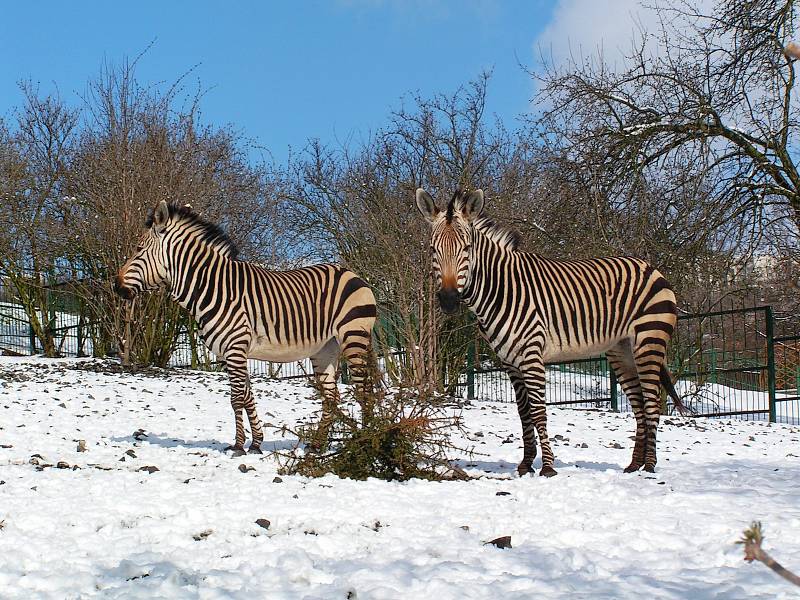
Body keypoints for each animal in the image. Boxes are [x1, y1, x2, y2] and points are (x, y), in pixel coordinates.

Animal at [114, 202, 376, 454]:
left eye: (138, 249)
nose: (116, 286)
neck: (212, 288)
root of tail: (352, 274)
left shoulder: (235, 348)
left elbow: (236, 399)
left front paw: (239, 446)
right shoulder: (230, 353)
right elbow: (248, 398)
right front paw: (256, 443)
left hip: (354, 337)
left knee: (364, 389)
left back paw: (367, 441)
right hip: (325, 348)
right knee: (331, 396)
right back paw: (317, 445)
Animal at [416, 185, 684, 476]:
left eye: (466, 249)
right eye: (432, 249)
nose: (449, 300)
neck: (501, 289)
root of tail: (650, 267)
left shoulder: (532, 355)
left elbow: (538, 412)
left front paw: (547, 467)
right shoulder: (510, 362)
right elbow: (524, 414)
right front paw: (525, 465)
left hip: (649, 341)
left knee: (651, 403)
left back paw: (650, 465)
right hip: (621, 350)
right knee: (638, 405)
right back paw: (634, 464)